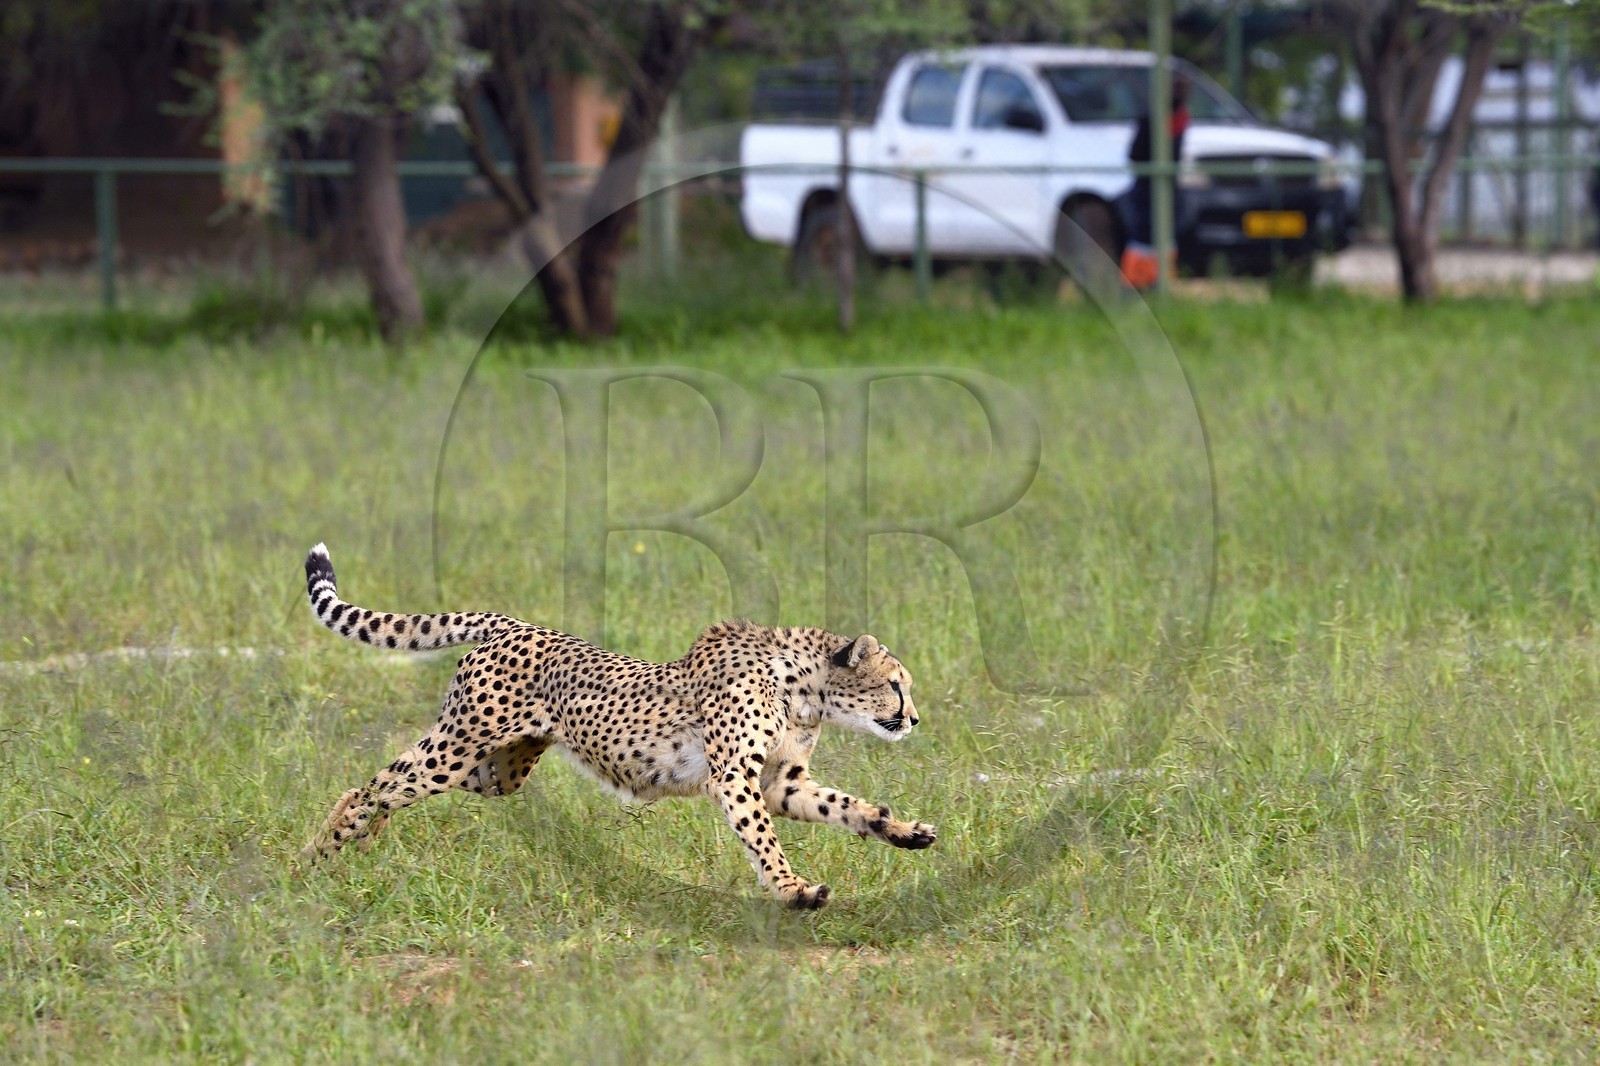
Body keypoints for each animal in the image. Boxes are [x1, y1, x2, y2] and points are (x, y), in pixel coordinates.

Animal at [300, 544, 936, 909]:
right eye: (896, 685)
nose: (913, 717)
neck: (804, 688)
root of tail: (513, 623)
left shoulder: (781, 782)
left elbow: (844, 805)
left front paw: (901, 830)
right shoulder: (733, 779)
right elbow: (764, 839)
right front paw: (793, 890)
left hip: (498, 770)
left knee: (393, 784)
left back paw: (364, 836)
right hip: (459, 746)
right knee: (374, 784)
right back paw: (318, 853)